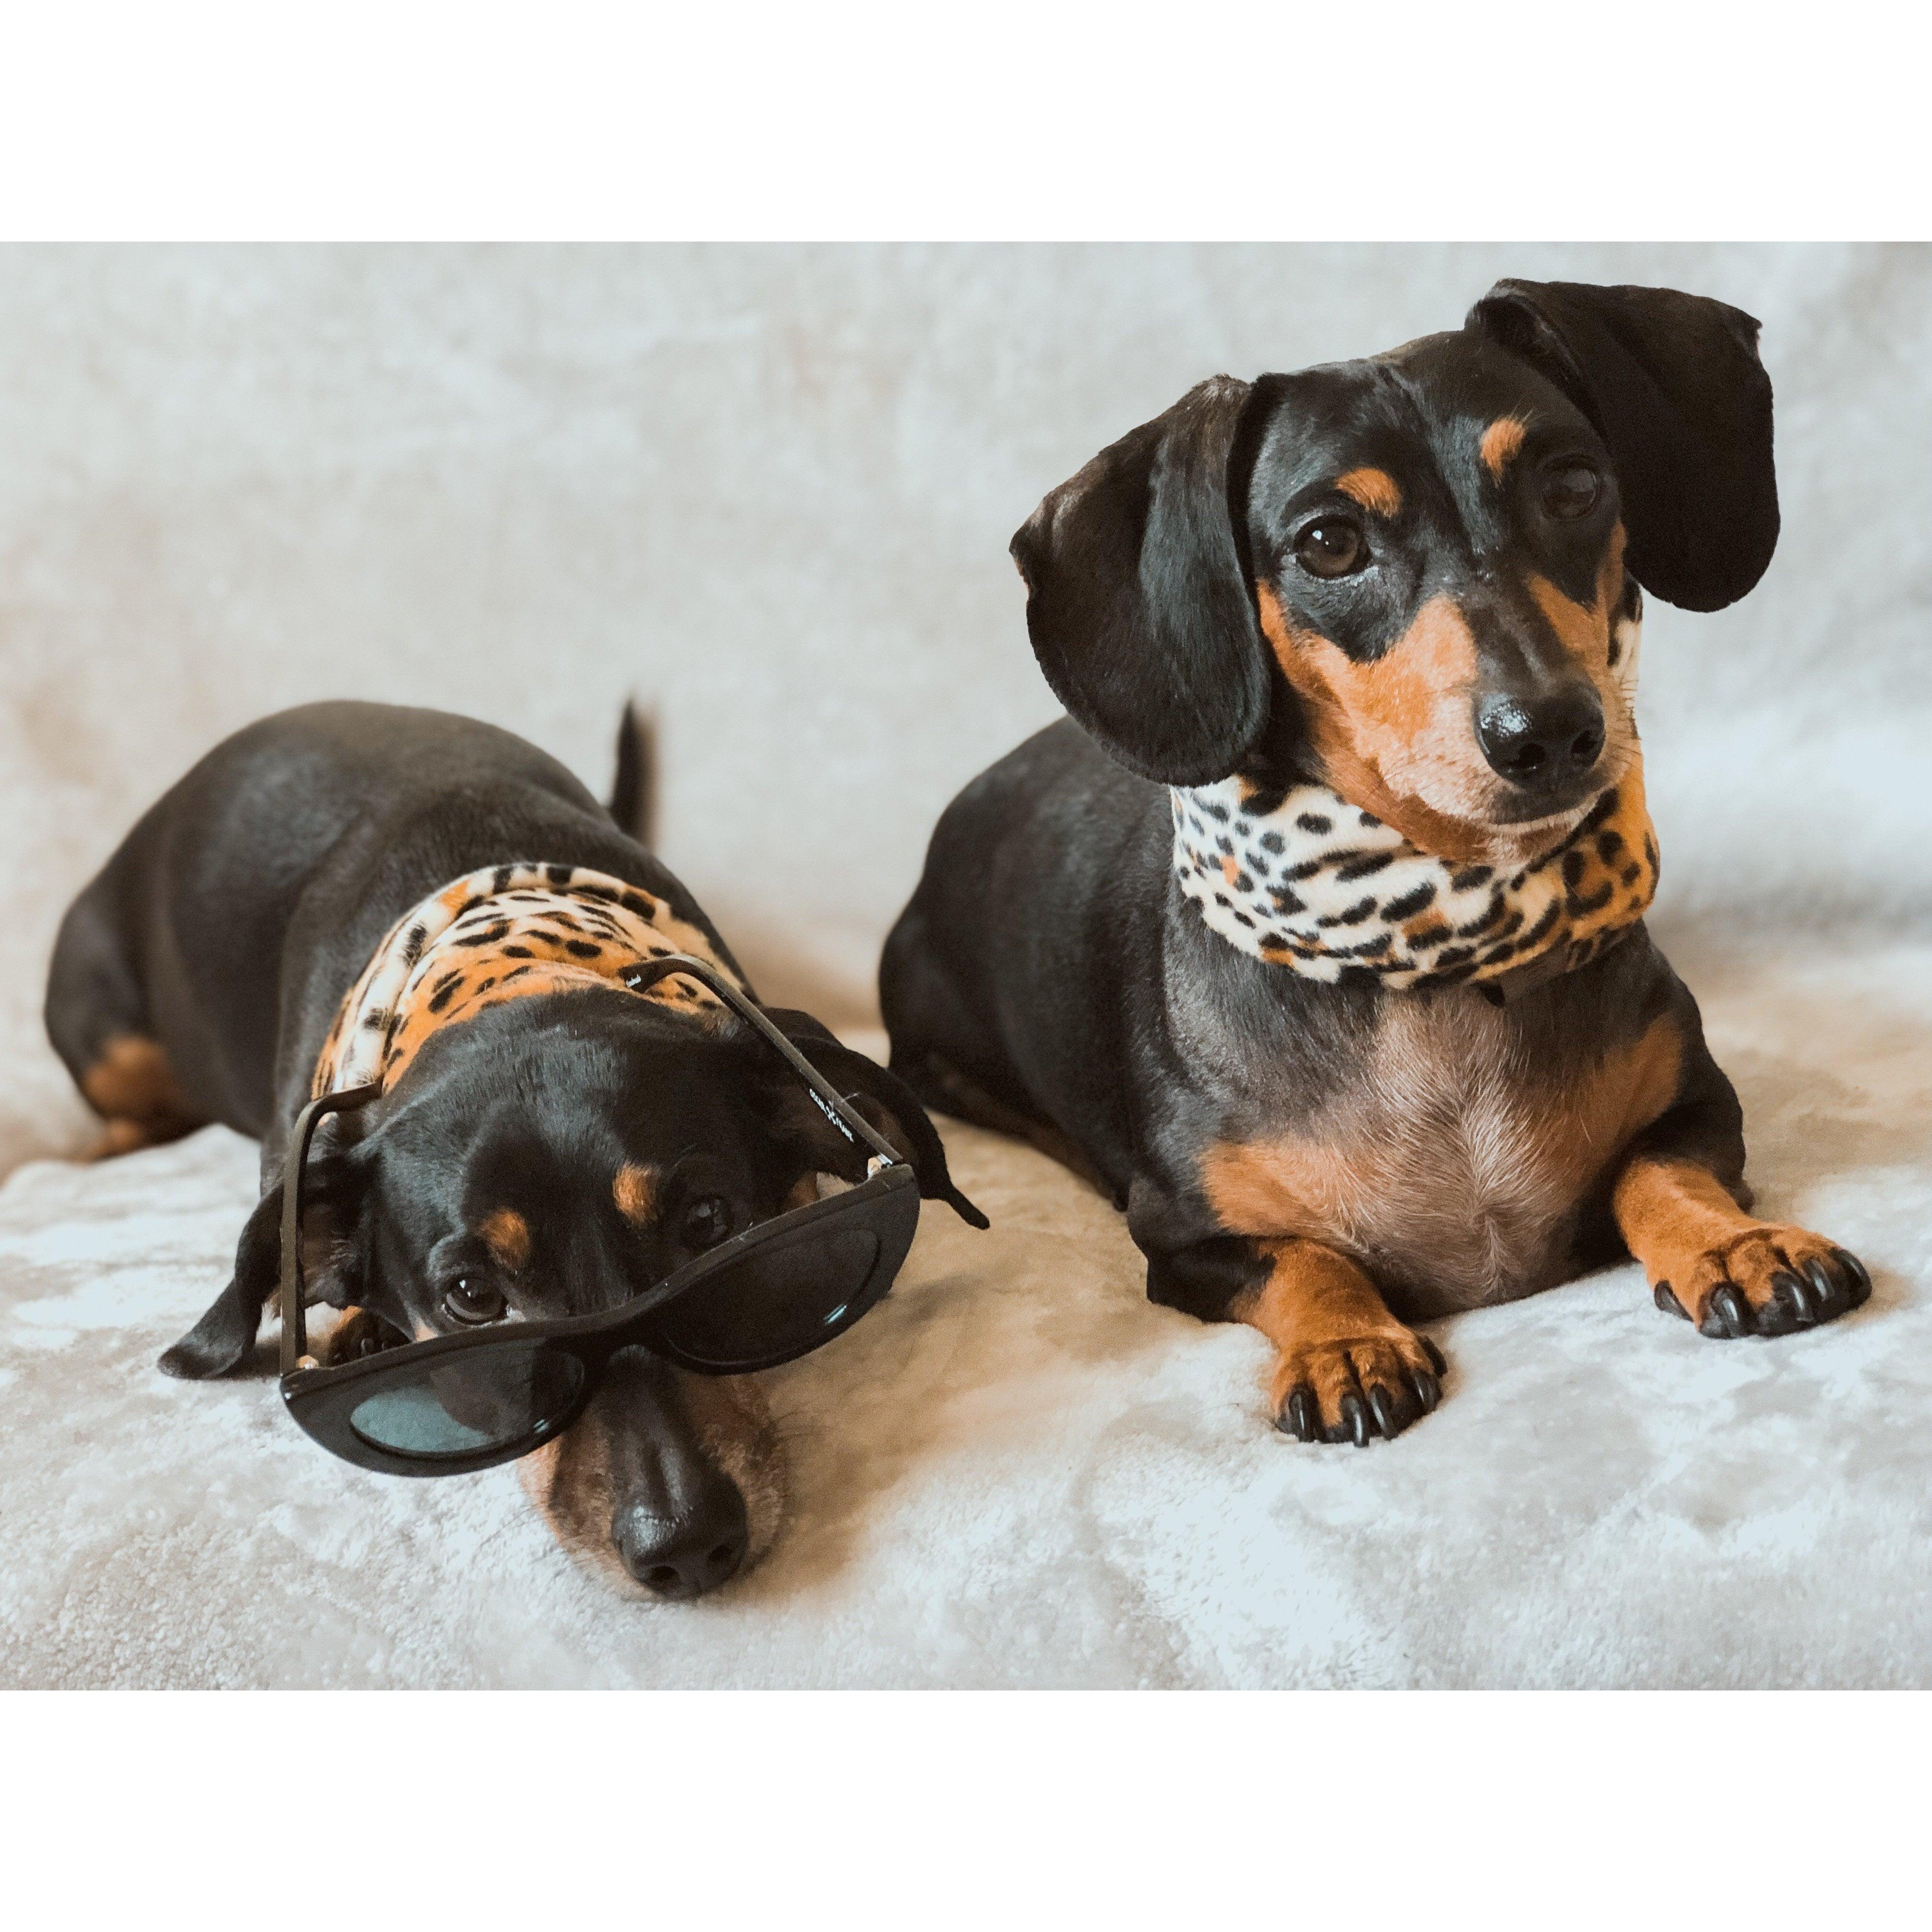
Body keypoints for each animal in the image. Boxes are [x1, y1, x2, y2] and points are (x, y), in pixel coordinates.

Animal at [47, 699, 972, 1594]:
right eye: (471, 1298)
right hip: (109, 1044)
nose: (685, 1545)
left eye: (711, 1223)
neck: (511, 971)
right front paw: (359, 1323)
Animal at [883, 277, 1871, 1447]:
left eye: (1574, 483)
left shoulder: (1700, 1106)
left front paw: (1732, 1243)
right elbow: (1303, 1260)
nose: (1550, 732)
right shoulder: (1184, 1243)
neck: (1438, 959)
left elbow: (1657, 1166)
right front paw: (1344, 1344)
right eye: (1328, 544)